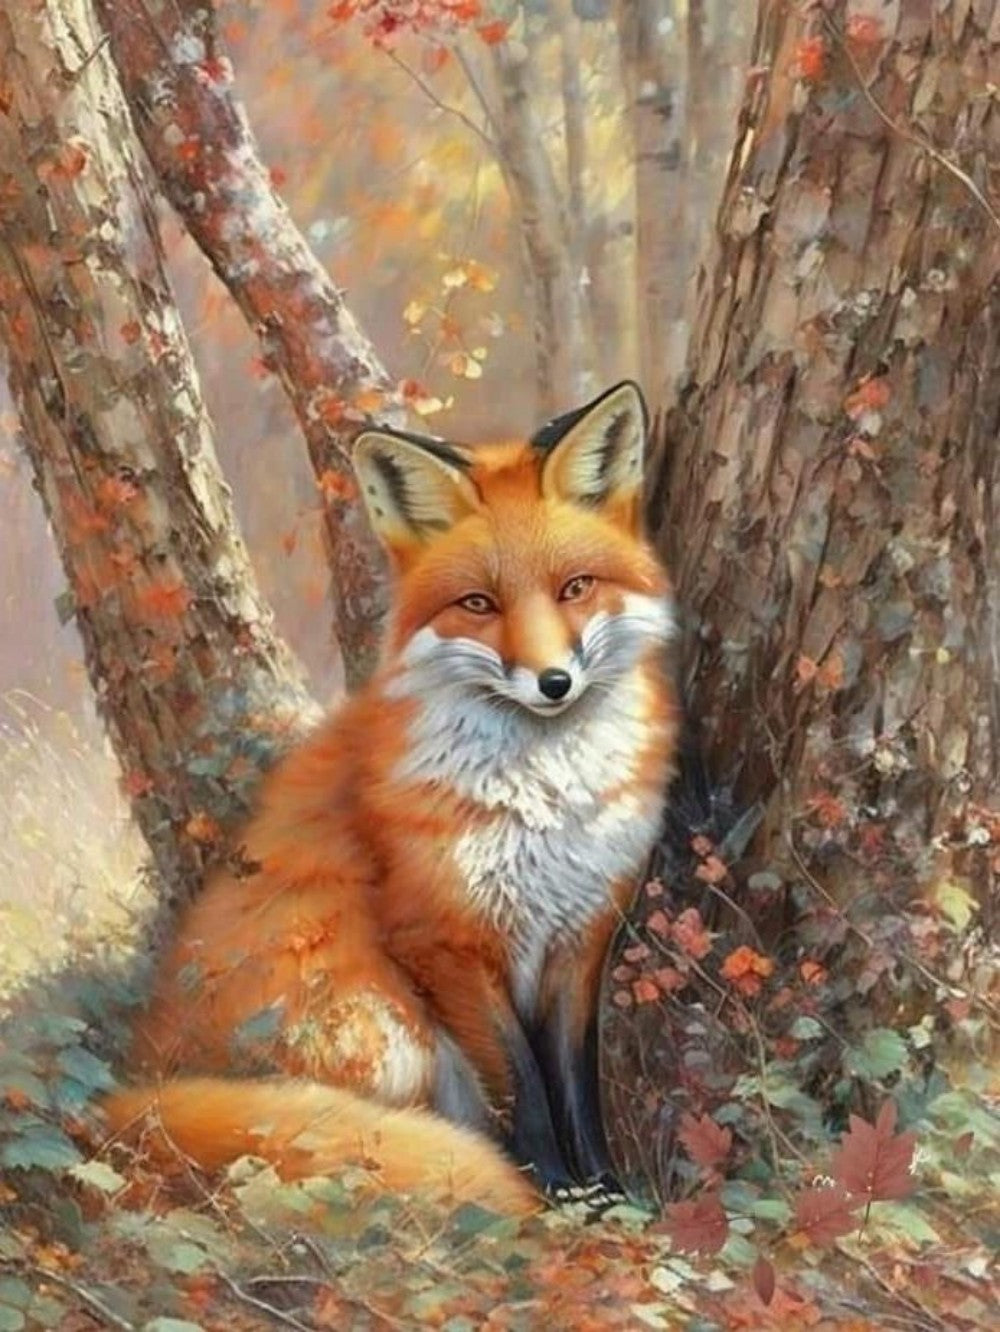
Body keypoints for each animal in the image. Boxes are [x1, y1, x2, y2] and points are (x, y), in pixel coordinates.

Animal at [102, 381, 679, 1216]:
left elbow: (576, 1086)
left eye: (574, 589)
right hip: (386, 1022)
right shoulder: (441, 938)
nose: (553, 683)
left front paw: (607, 1192)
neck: (545, 800)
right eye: (479, 604)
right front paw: (554, 1196)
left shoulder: (582, 933)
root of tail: (129, 1089)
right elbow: (526, 1092)